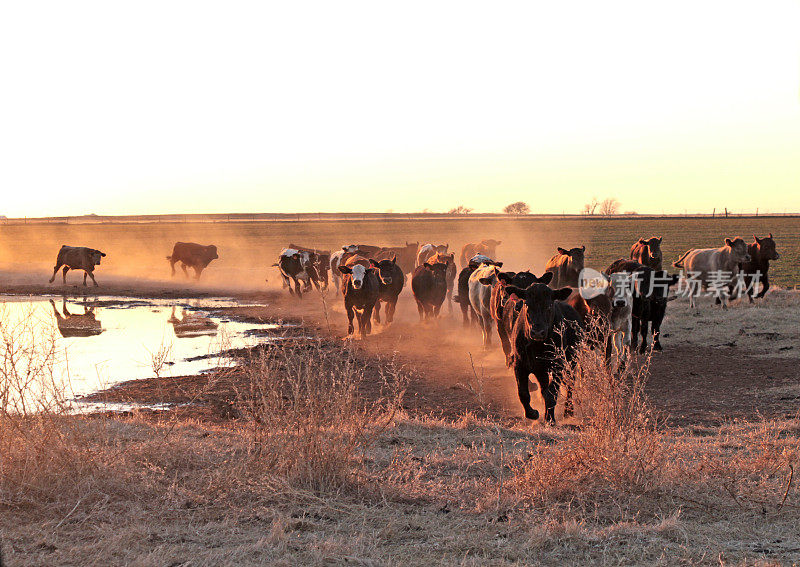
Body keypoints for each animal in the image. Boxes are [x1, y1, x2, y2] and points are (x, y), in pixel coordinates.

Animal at [506, 282, 580, 424]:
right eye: (527, 304)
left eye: (549, 305)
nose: (537, 332)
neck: (536, 345)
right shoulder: (519, 365)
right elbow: (523, 393)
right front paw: (532, 413)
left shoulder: (557, 367)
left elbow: (552, 393)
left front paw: (550, 419)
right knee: (544, 388)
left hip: (571, 363)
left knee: (570, 384)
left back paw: (568, 411)